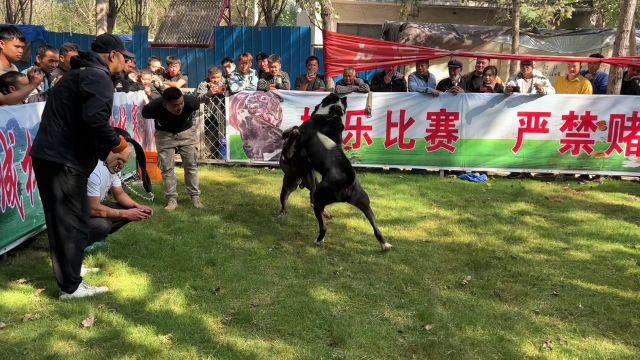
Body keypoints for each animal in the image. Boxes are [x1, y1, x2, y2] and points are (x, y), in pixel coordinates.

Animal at [278, 93, 390, 250]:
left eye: (326, 98)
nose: (336, 93)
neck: (331, 114)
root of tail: (347, 183)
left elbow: (290, 136)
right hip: (365, 204)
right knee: (376, 228)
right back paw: (385, 245)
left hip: (315, 196)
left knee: (321, 224)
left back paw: (318, 239)